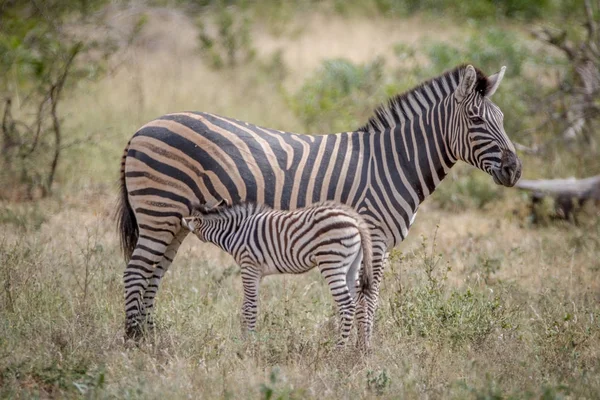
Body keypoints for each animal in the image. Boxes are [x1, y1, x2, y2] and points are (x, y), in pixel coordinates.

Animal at [180, 202, 372, 346]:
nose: (181, 222)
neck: (235, 231)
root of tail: (355, 220)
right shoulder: (257, 273)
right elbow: (246, 306)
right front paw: (244, 340)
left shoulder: (249, 267)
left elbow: (250, 308)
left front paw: (247, 345)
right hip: (352, 266)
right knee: (360, 302)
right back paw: (361, 349)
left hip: (332, 262)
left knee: (347, 305)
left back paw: (339, 349)